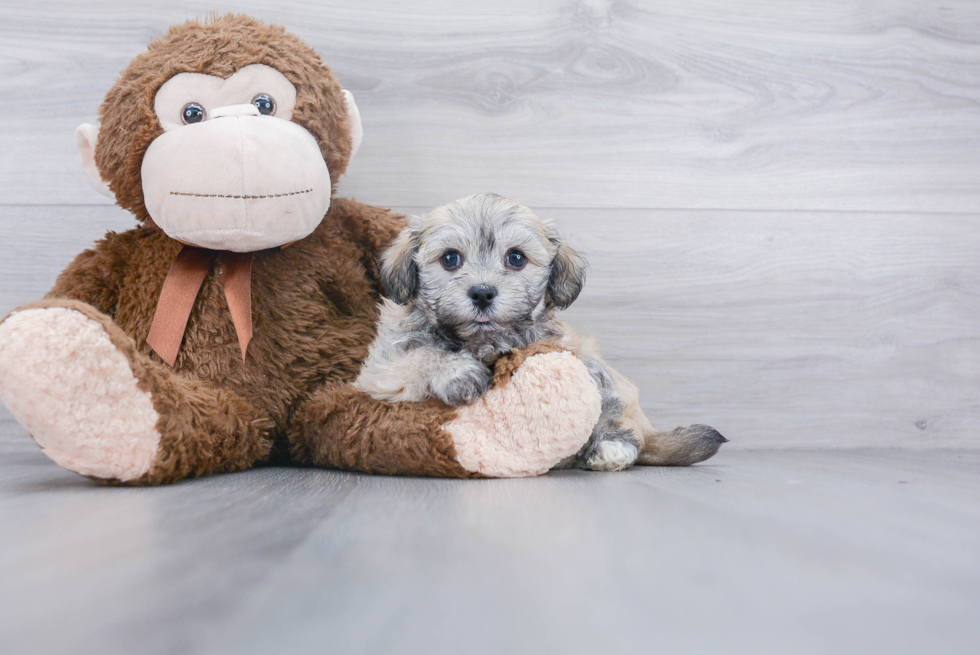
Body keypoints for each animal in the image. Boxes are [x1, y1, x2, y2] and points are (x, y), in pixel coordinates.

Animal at [354, 191, 728, 472]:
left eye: (516, 258)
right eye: (449, 259)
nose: (482, 293)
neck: (483, 340)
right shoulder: (380, 369)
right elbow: (418, 356)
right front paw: (457, 372)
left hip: (591, 363)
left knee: (607, 408)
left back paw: (610, 448)